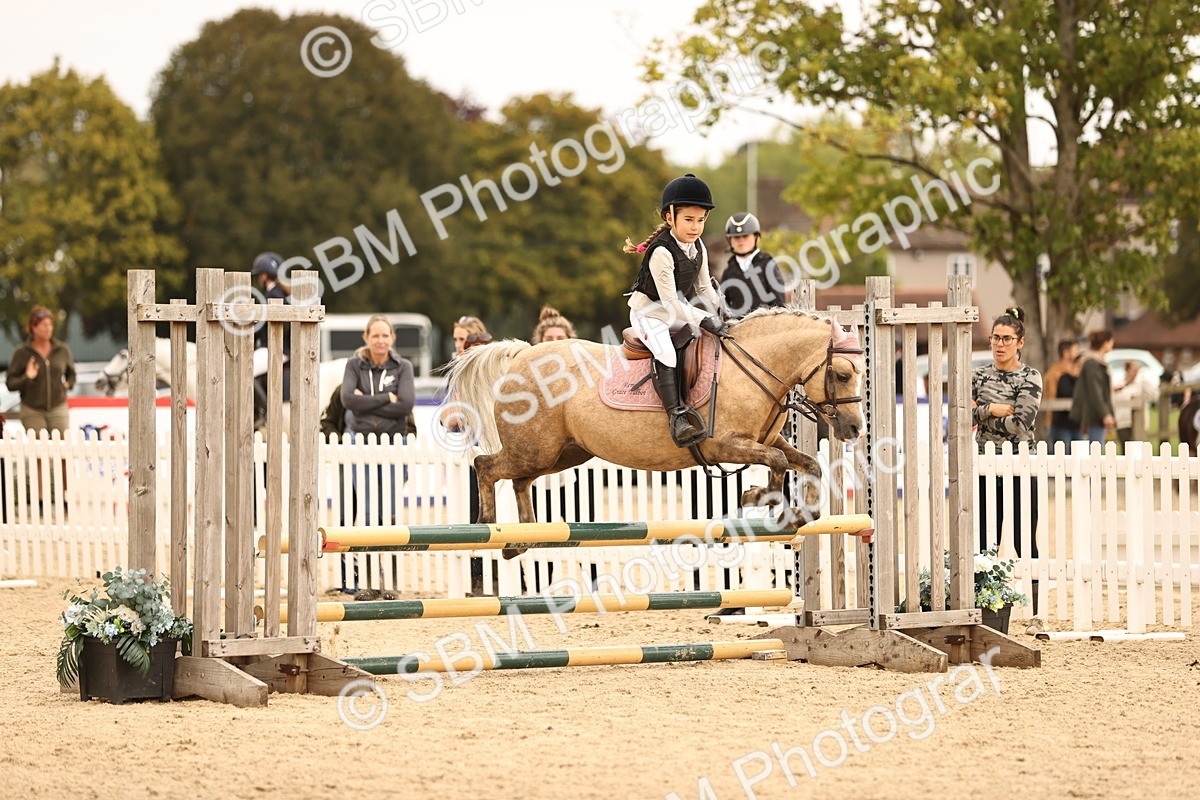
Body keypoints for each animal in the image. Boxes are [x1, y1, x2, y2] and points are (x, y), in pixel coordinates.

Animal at [445, 307, 865, 536]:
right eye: (842, 374)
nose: (854, 429)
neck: (751, 367)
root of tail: (521, 355)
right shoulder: (724, 444)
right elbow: (778, 464)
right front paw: (761, 498)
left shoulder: (766, 441)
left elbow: (807, 463)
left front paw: (802, 512)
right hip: (535, 450)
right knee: (486, 466)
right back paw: (488, 524)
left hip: (562, 454)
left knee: (519, 480)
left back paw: (522, 538)